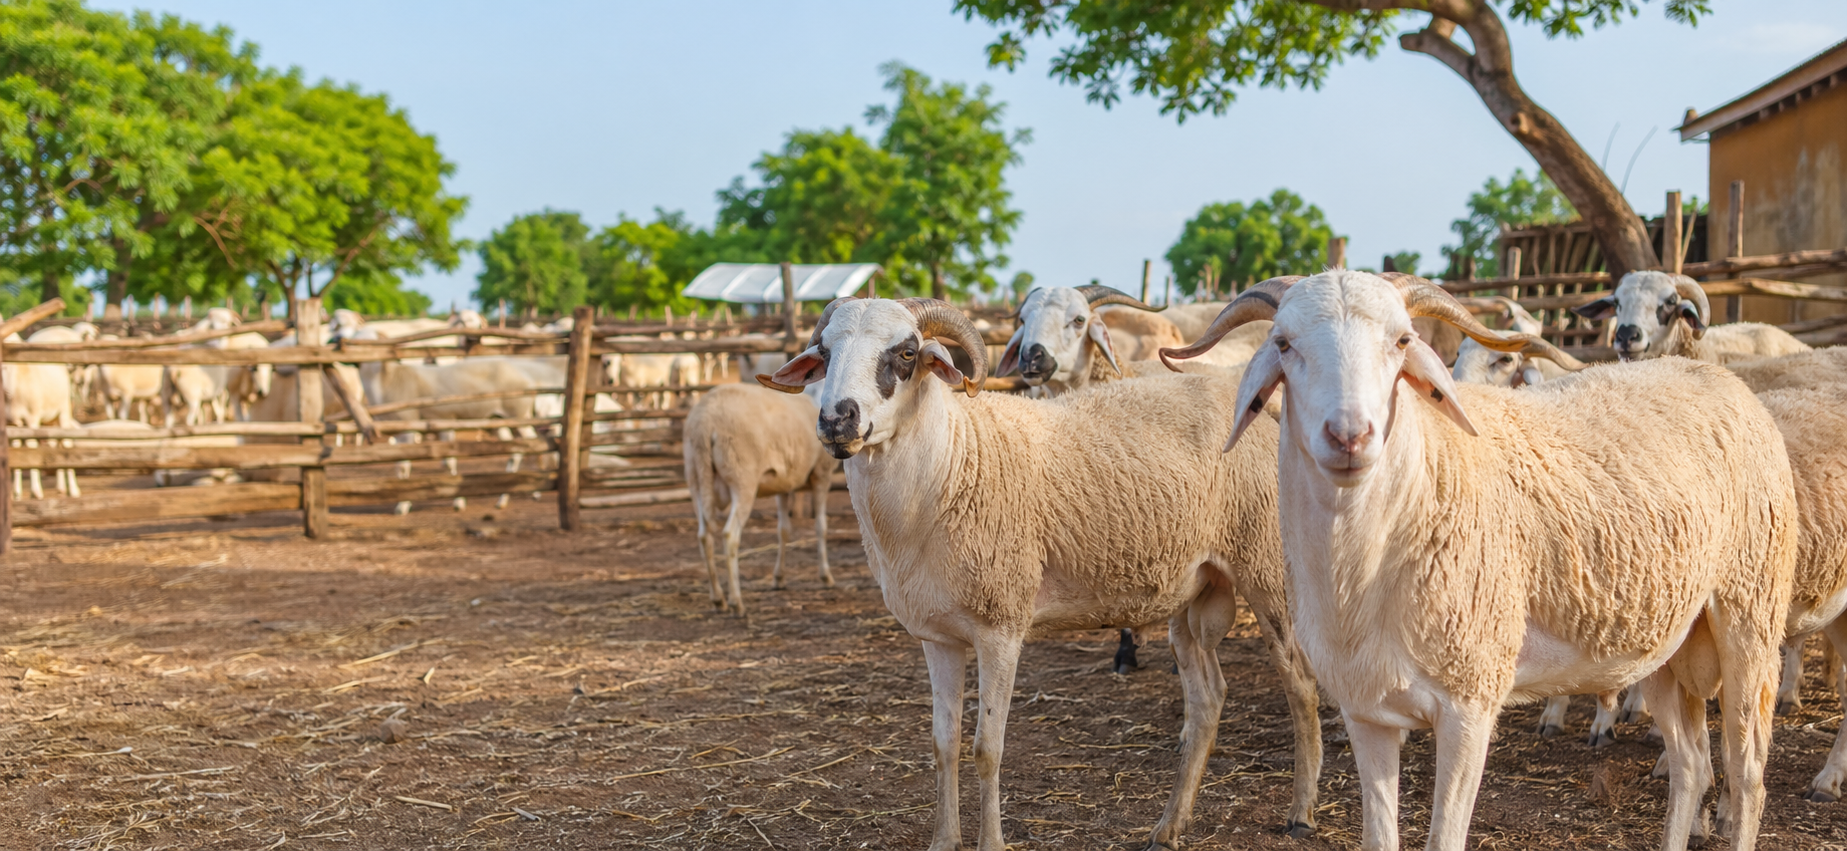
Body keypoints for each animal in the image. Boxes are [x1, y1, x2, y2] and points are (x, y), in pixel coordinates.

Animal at [683, 383, 838, 617]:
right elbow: (821, 526)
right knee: (730, 535)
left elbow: (784, 530)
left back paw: (718, 599)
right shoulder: (822, 473)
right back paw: (736, 601)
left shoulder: (784, 484)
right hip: (743, 478)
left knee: (704, 537)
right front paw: (826, 576)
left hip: (696, 478)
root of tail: (704, 422)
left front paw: (779, 578)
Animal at [759, 296, 1325, 849]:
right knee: (1207, 701)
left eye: (906, 353)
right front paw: (944, 840)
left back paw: (1300, 813)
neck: (953, 461)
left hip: (1265, 567)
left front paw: (991, 843)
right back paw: (1168, 827)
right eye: (824, 352)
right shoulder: (937, 637)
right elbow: (944, 744)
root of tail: (1248, 397)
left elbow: (986, 748)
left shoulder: (1001, 628)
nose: (837, 420)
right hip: (1193, 589)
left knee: (1300, 683)